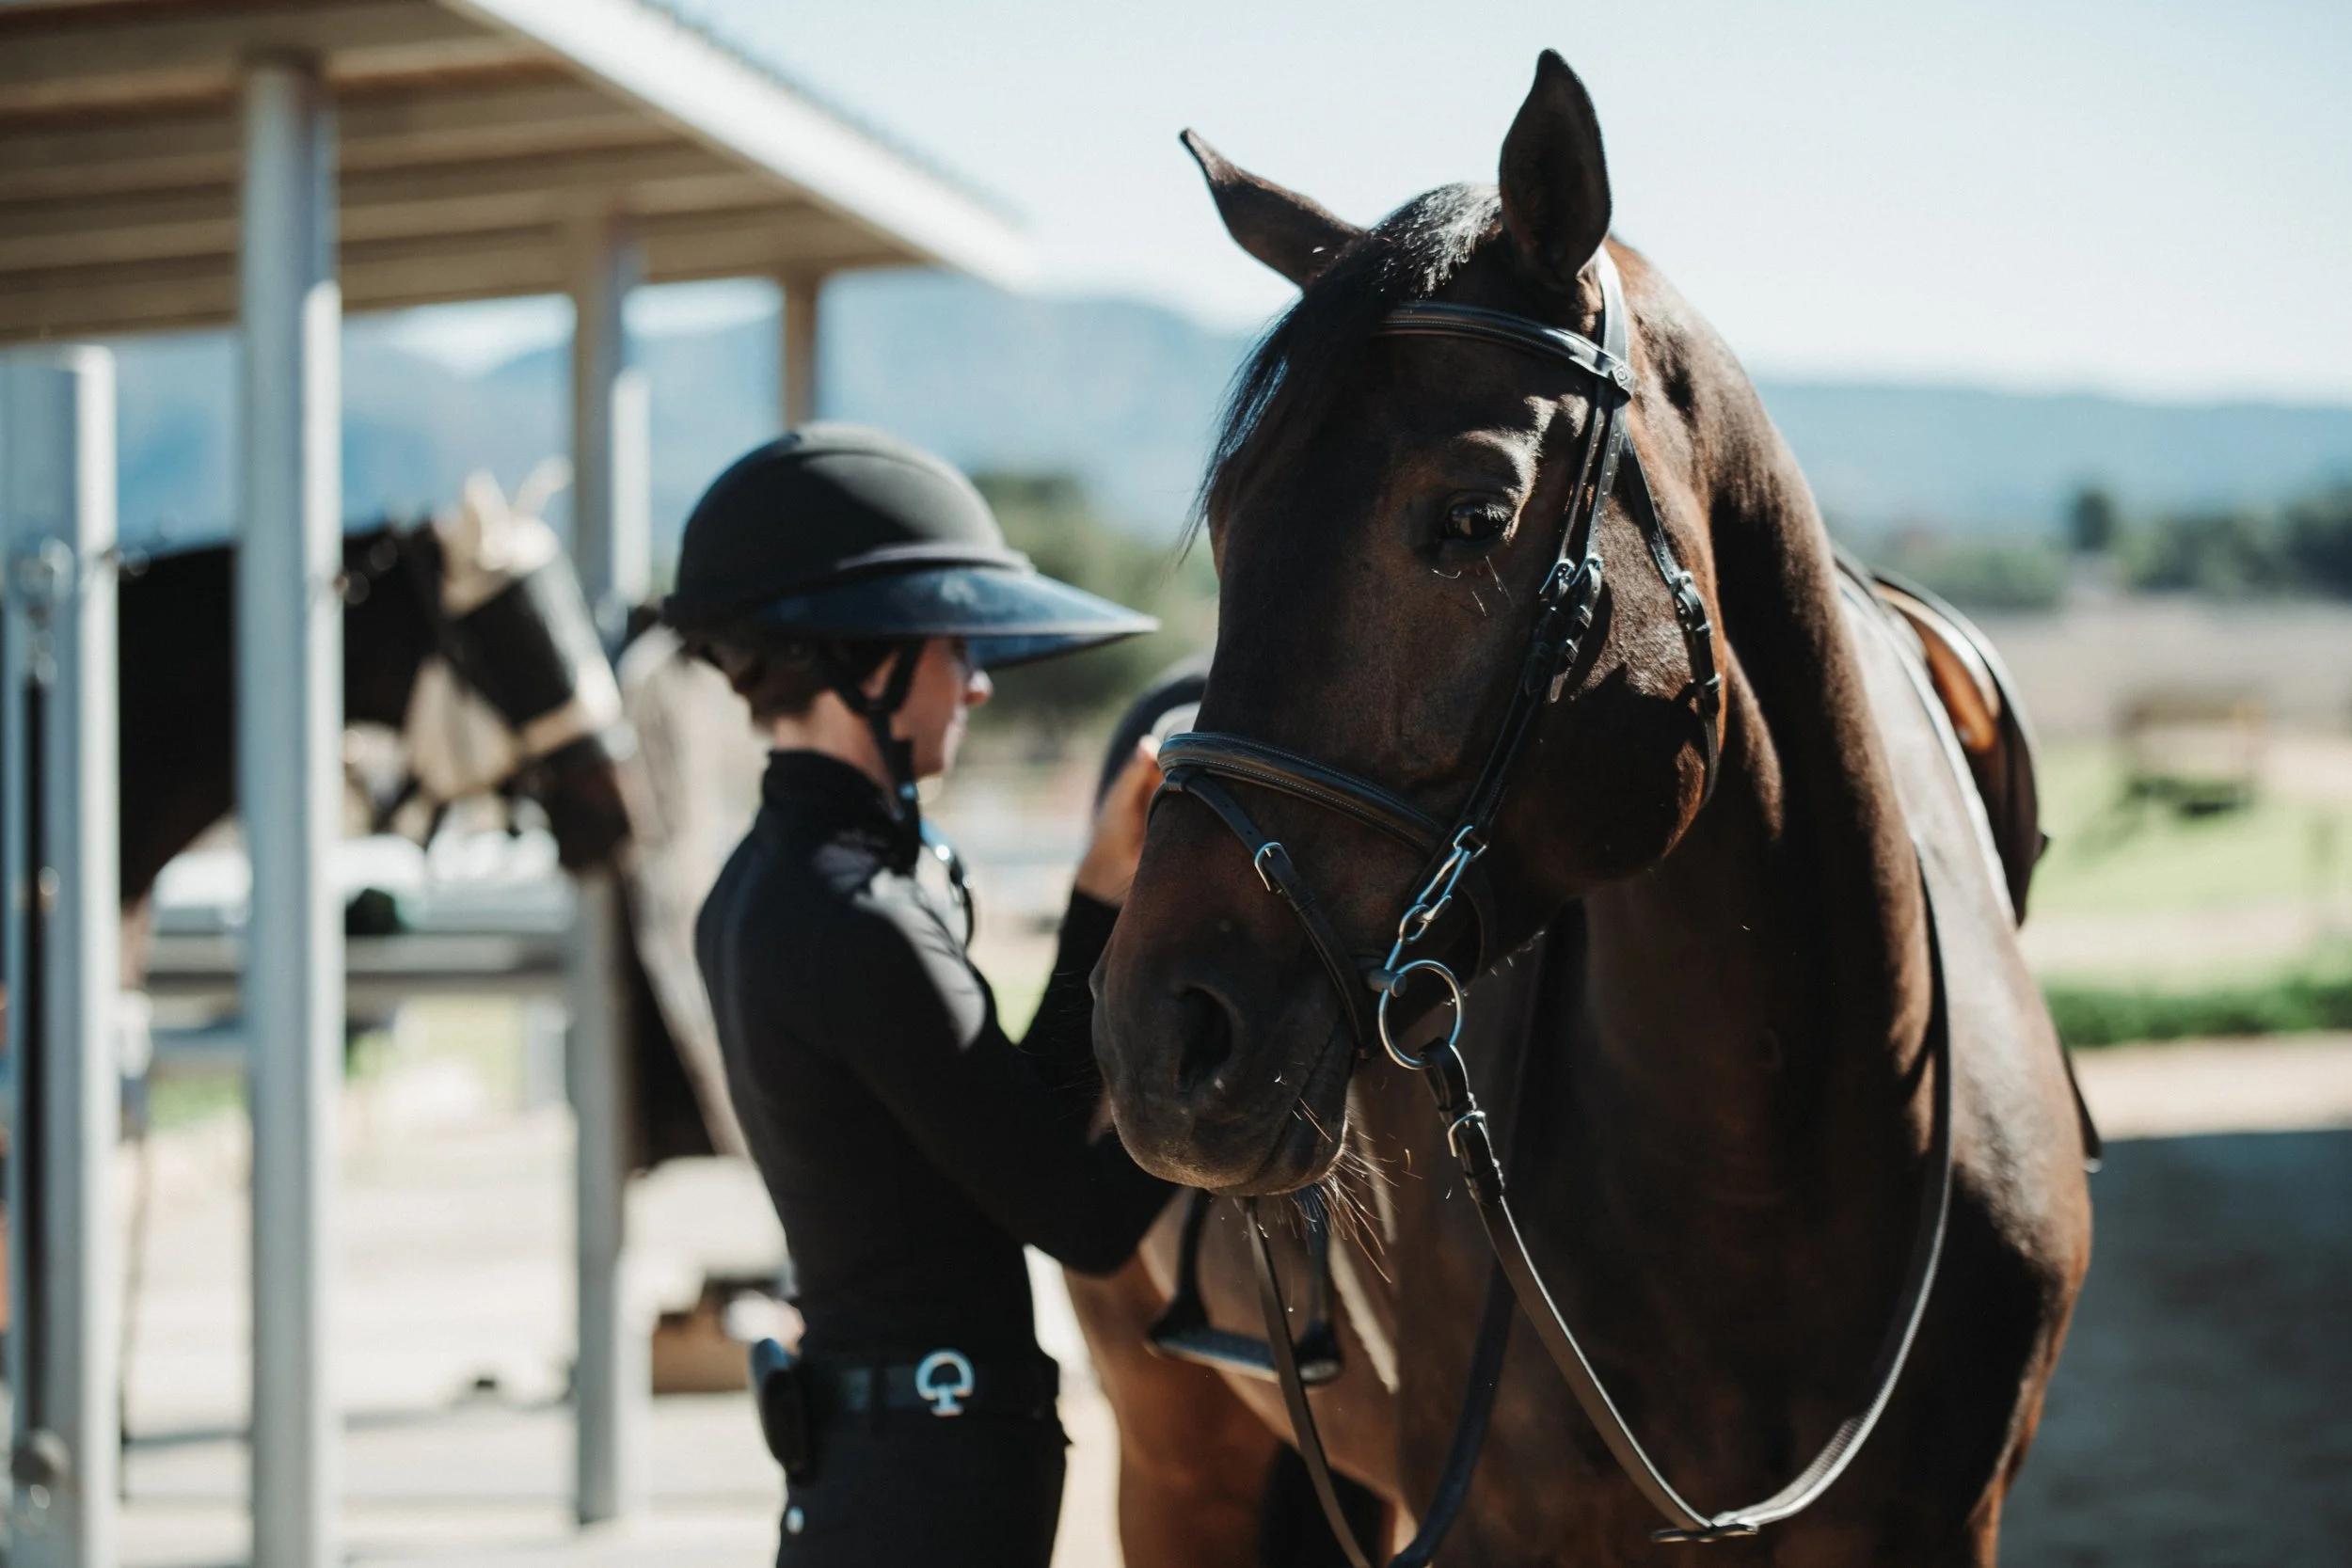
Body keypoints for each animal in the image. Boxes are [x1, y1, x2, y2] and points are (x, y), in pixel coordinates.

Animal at [1079, 52, 2093, 1565]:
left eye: (1471, 517)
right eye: (1232, 516)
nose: (1159, 1036)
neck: (1775, 1152)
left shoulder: (1942, 1520)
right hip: (1176, 1456)